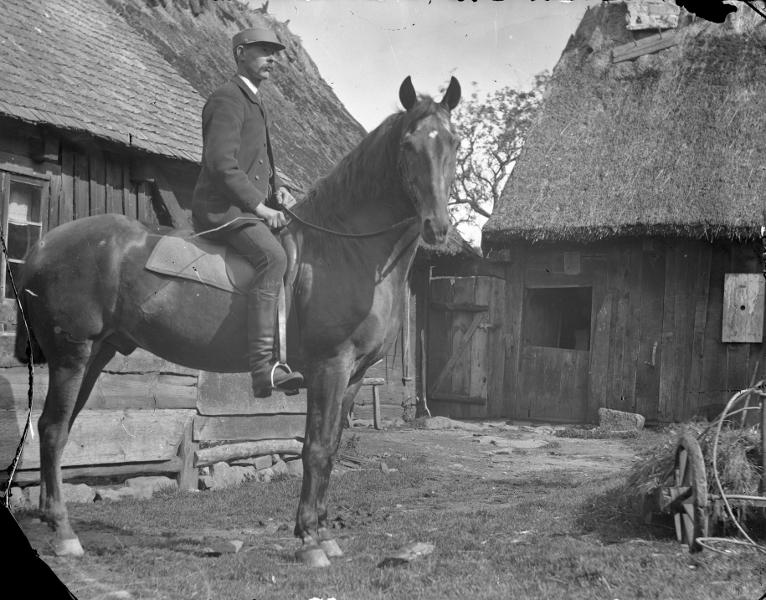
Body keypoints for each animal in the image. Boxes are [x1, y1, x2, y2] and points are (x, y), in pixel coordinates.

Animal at [14, 75, 461, 566]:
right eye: (408, 145)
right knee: (52, 430)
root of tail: (43, 247)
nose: (438, 227)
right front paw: (310, 541)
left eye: (455, 143)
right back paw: (64, 534)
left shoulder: (355, 375)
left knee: (60, 429)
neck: (343, 249)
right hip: (71, 354)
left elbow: (330, 448)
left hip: (96, 354)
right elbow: (316, 449)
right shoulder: (330, 367)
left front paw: (323, 534)